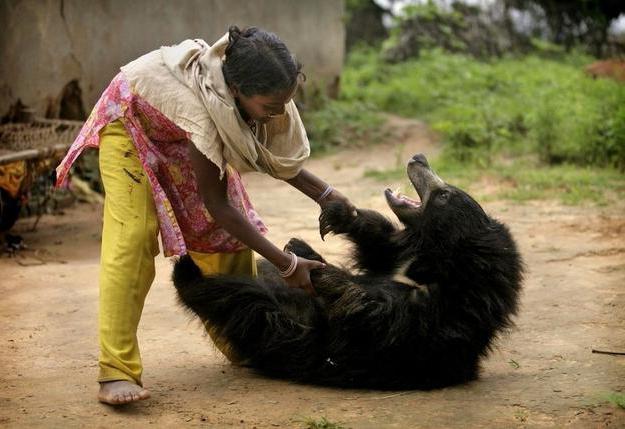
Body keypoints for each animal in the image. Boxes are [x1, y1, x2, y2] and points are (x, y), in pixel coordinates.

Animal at [172, 153, 520, 388]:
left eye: (445, 195)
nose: (418, 157)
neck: (431, 256)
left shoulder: (430, 321)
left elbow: (370, 309)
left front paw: (314, 269)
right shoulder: (397, 259)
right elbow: (377, 250)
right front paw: (336, 217)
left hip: (281, 328)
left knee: (234, 299)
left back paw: (185, 270)